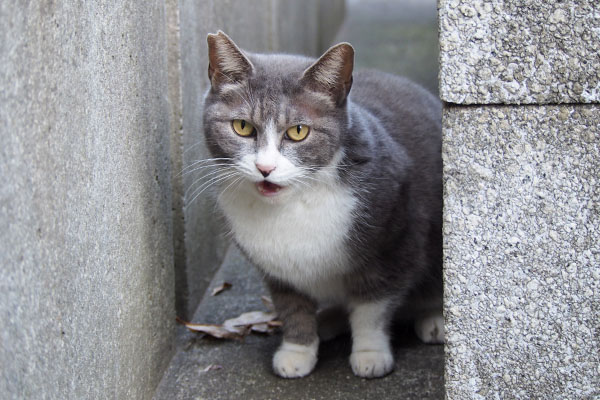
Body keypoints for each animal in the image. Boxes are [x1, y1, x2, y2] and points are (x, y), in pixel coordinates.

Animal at [200, 31, 440, 378]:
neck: (295, 204)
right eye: (242, 127)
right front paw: (297, 352)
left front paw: (370, 354)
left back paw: (434, 319)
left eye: (298, 131)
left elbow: (372, 308)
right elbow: (292, 308)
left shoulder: (393, 246)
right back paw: (328, 321)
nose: (265, 168)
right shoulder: (278, 271)